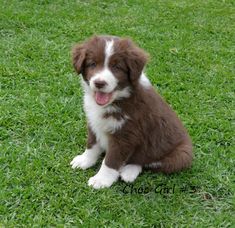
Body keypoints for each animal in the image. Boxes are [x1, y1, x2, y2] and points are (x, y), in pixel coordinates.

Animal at [70, 35, 193, 189]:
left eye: (117, 67)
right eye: (92, 64)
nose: (99, 83)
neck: (118, 98)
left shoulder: (126, 135)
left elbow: (111, 160)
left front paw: (101, 180)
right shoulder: (94, 122)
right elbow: (91, 144)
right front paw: (84, 160)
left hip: (180, 155)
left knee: (145, 161)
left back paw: (128, 172)